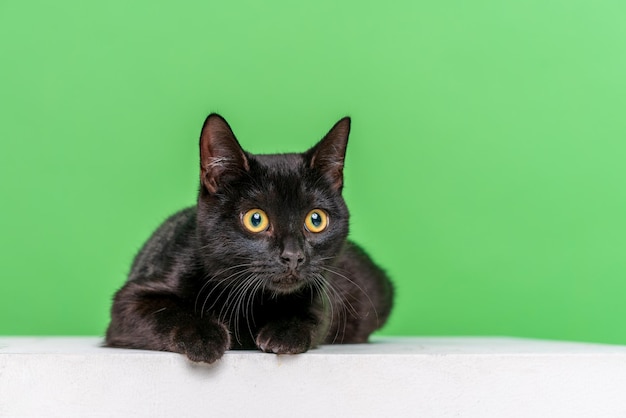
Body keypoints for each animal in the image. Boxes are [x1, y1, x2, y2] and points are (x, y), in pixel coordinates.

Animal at [105, 114, 392, 362]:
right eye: (256, 220)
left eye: (316, 220)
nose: (293, 256)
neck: (251, 301)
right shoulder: (128, 302)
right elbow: (169, 312)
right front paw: (204, 336)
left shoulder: (321, 295)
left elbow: (313, 316)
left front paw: (285, 332)